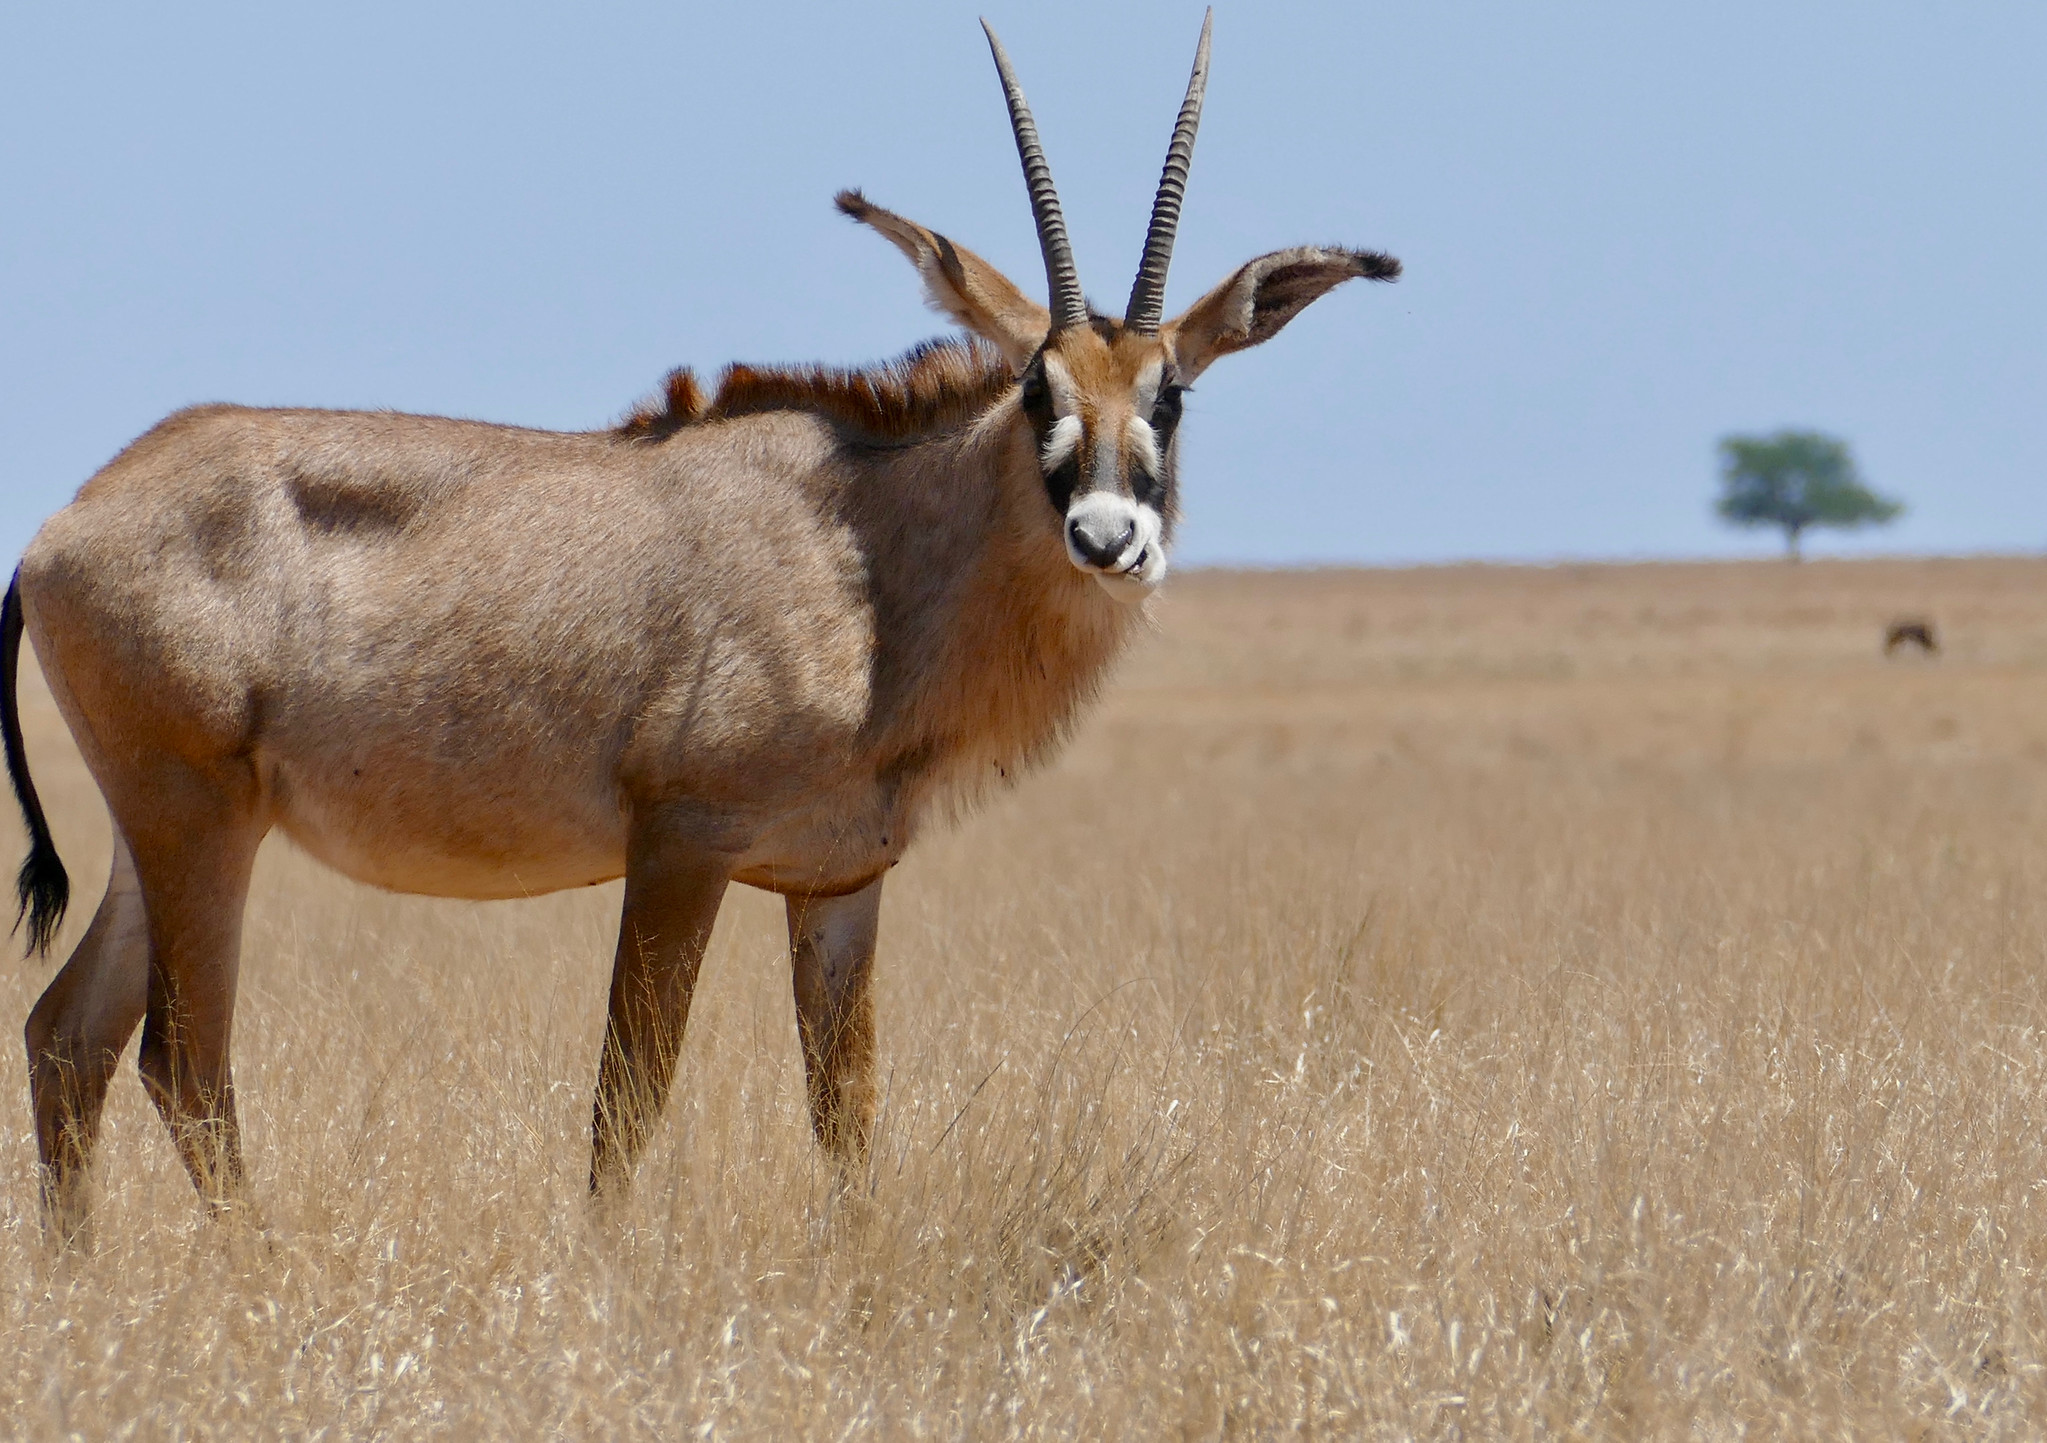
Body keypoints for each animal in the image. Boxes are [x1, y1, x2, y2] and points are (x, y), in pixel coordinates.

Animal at [4, 13, 1398, 1238]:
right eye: (1036, 389)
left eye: (1170, 395)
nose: (1109, 539)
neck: (867, 555)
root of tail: (65, 524)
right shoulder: (681, 840)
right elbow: (628, 1099)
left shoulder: (836, 878)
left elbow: (847, 1117)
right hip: (199, 819)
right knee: (182, 1060)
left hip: (164, 826)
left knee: (70, 1037)